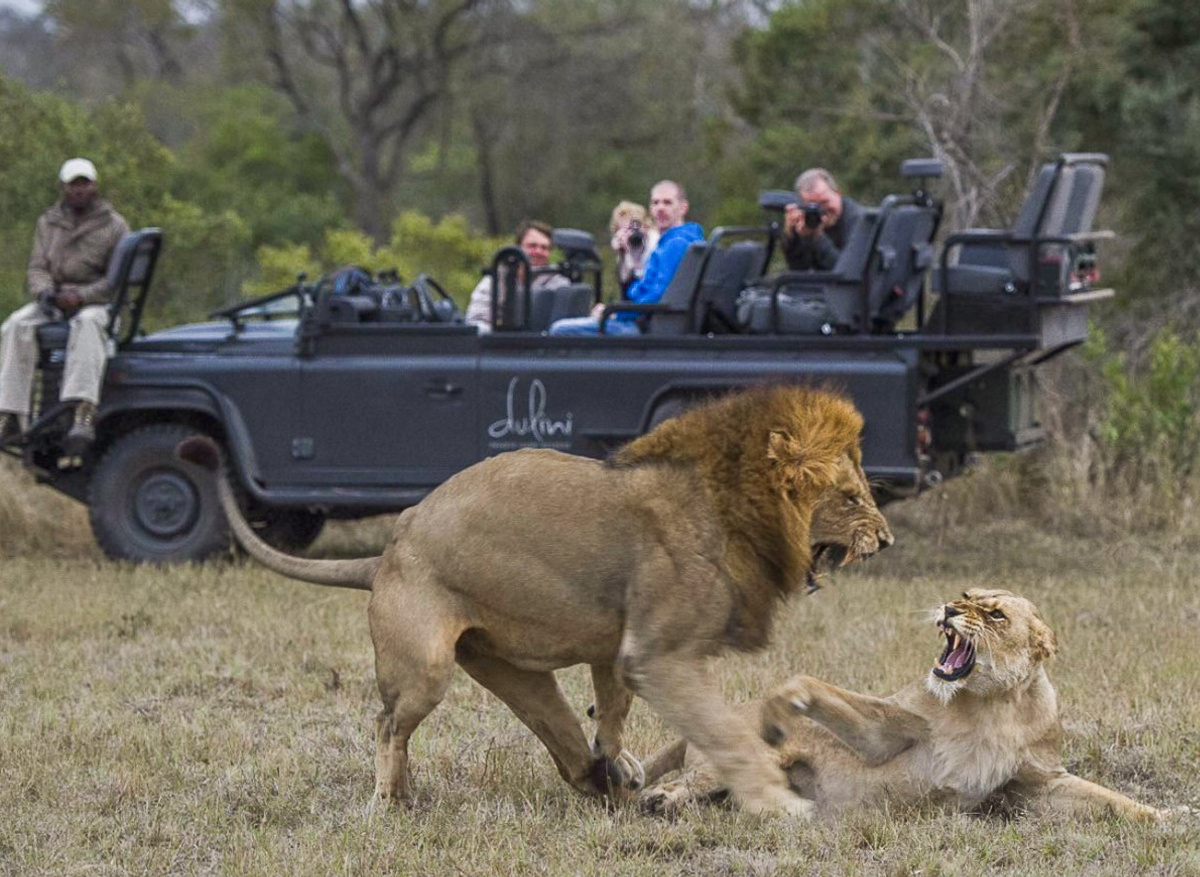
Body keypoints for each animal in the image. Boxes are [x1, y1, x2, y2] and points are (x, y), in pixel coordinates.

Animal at [178, 385, 893, 816]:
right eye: (851, 497)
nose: (885, 540)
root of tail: (390, 552)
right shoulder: (658, 655)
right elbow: (723, 730)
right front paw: (781, 803)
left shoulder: (620, 648)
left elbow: (613, 709)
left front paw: (624, 760)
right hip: (425, 667)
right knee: (386, 724)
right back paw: (390, 802)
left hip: (515, 674)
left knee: (566, 746)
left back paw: (605, 782)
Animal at [640, 588, 1175, 821]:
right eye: (965, 594)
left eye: (995, 614)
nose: (950, 609)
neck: (996, 704)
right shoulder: (886, 734)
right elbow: (813, 685)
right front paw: (782, 702)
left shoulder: (1040, 783)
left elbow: (1113, 800)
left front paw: (1170, 819)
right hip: (724, 760)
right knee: (693, 781)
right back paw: (657, 799)